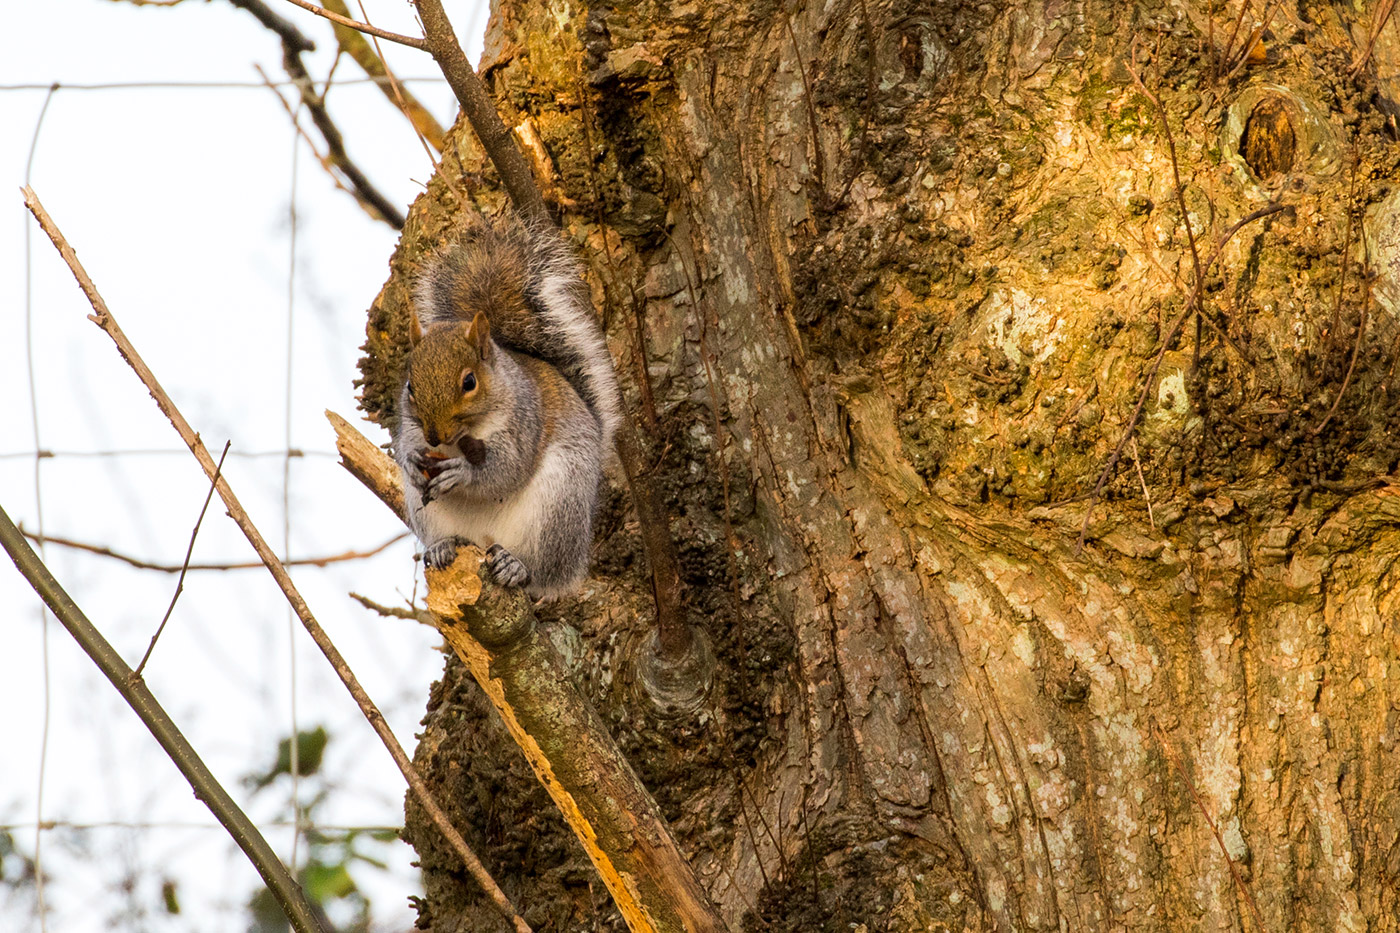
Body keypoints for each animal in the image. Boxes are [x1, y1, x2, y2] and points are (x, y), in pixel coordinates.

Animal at [389, 214, 618, 599]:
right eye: (410, 386)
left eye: (469, 382)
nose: (434, 438)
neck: (461, 437)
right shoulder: (413, 428)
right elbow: (406, 446)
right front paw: (410, 462)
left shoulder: (524, 424)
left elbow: (506, 469)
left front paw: (464, 473)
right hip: (428, 514)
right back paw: (442, 547)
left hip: (558, 505)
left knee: (542, 573)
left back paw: (517, 566)